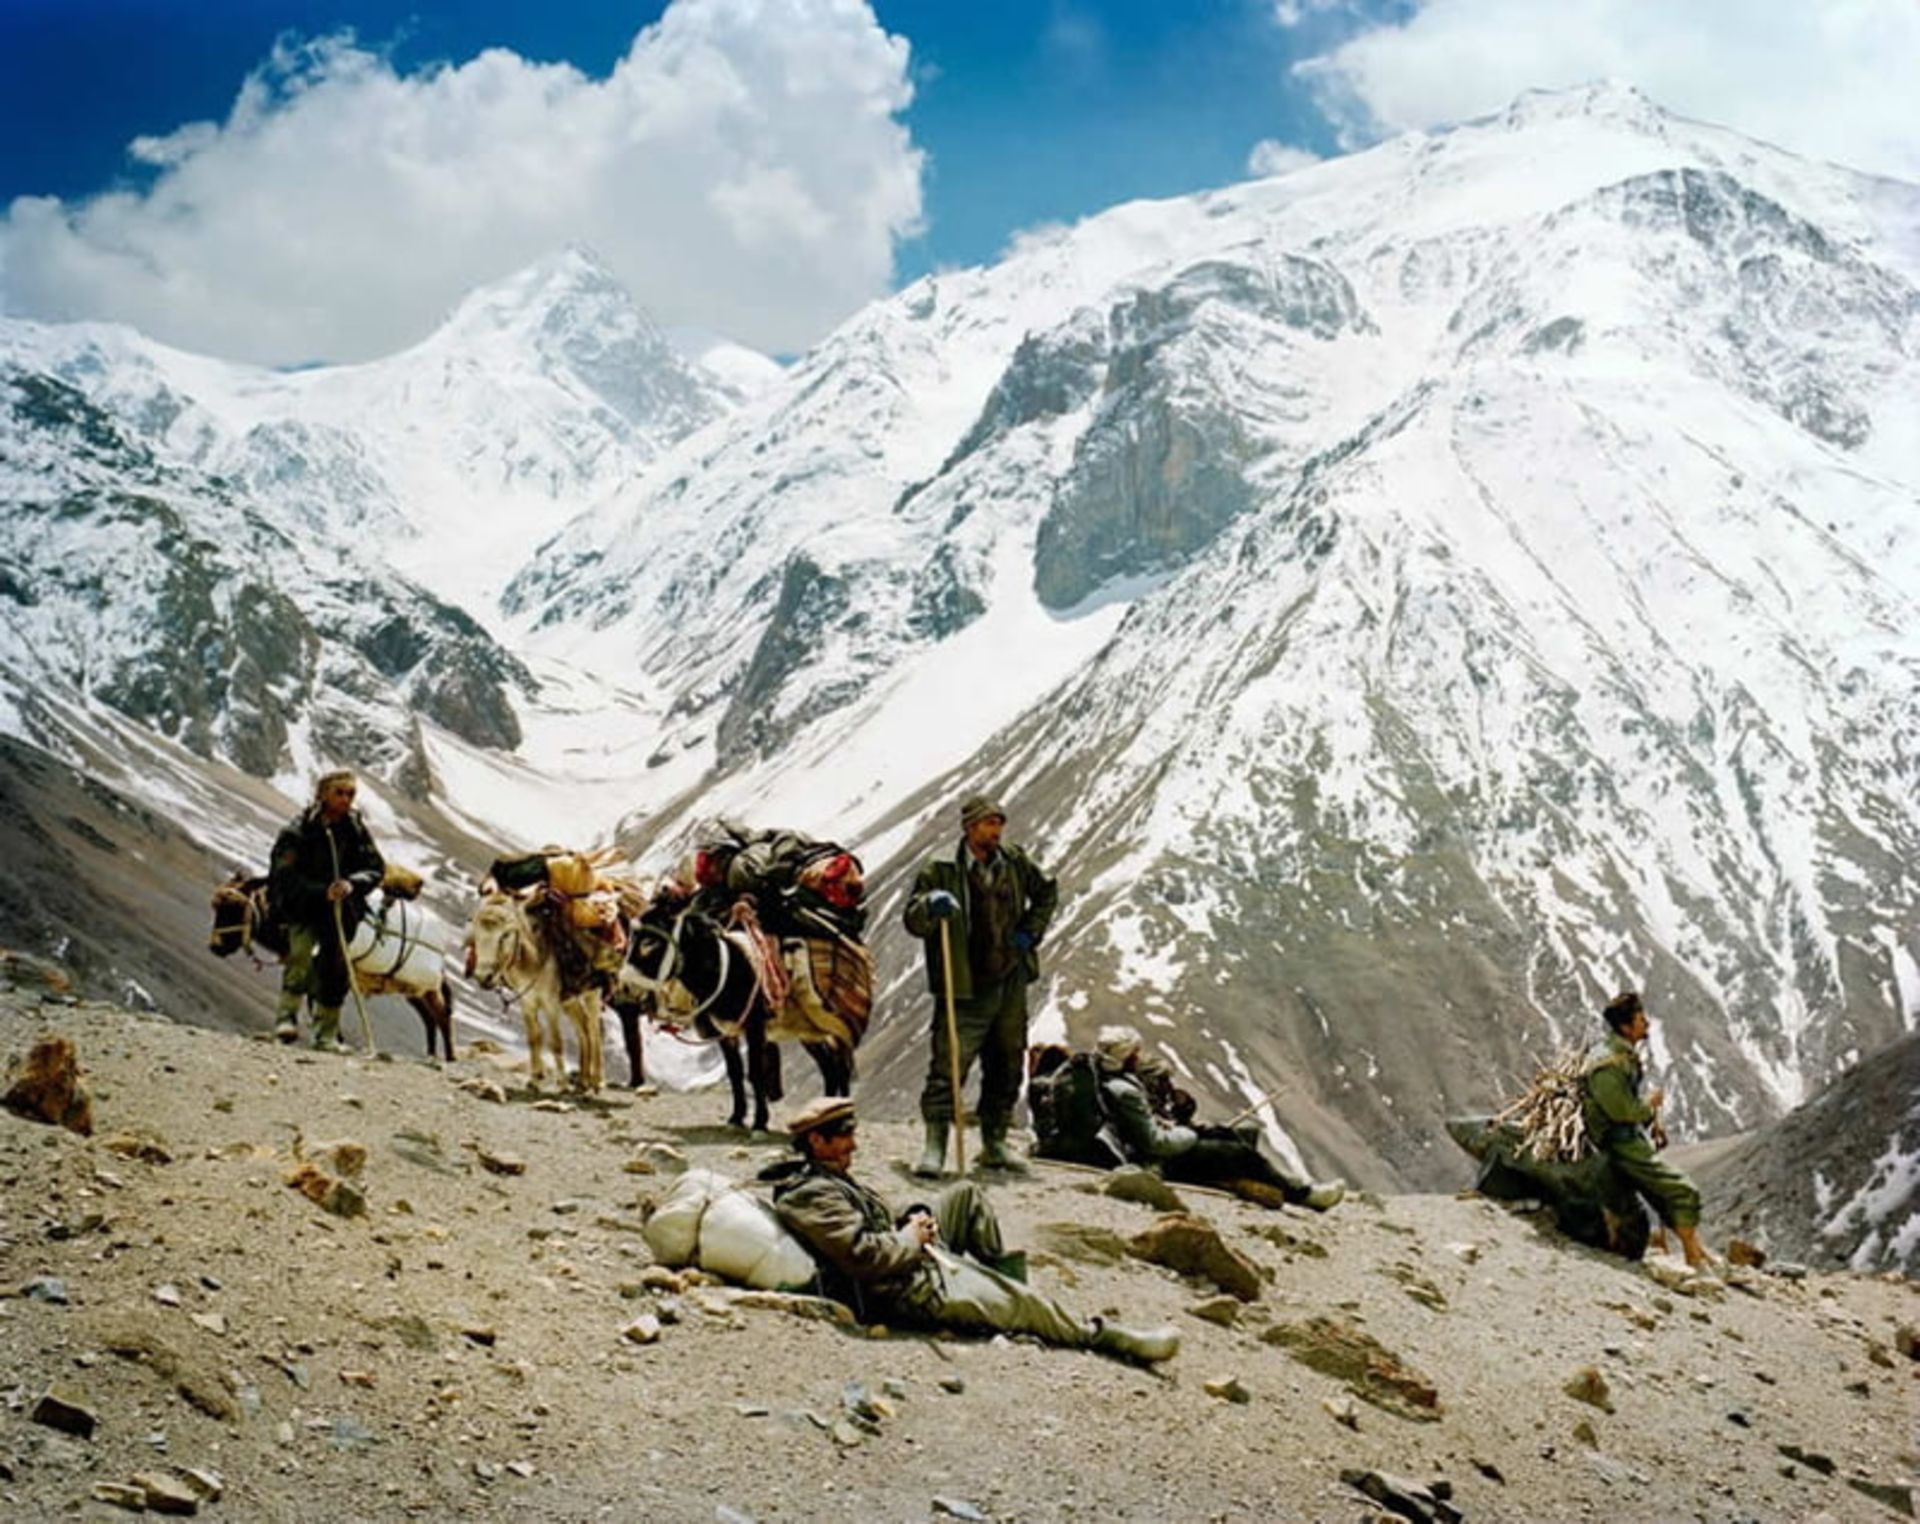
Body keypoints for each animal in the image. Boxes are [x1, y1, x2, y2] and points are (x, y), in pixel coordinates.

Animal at [207, 867, 456, 1059]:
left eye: (234, 908)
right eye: (217, 907)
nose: (215, 947)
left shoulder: (331, 969)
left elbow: (324, 998)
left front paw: (332, 1039)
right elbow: (313, 998)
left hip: (427, 989)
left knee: (442, 1016)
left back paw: (449, 1058)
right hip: (413, 990)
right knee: (429, 1019)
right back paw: (431, 1054)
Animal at [618, 898, 860, 1136]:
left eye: (650, 942)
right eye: (631, 939)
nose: (624, 988)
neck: (726, 970)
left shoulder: (755, 1028)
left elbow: (755, 1073)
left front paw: (760, 1122)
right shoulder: (725, 1033)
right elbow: (735, 1073)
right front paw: (736, 1117)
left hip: (825, 1026)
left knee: (840, 1064)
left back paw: (842, 1111)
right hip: (807, 1033)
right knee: (829, 1066)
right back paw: (826, 1109)